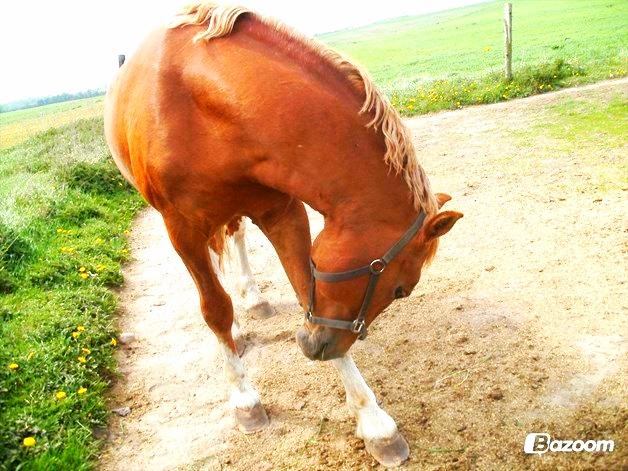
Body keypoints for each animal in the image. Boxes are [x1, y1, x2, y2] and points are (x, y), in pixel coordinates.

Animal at [104, 2, 462, 468]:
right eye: (400, 289)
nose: (315, 347)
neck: (206, 104)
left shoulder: (281, 211)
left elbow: (304, 287)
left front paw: (374, 423)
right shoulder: (181, 227)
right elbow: (214, 309)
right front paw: (244, 400)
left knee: (234, 236)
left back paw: (253, 300)